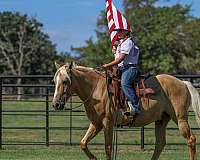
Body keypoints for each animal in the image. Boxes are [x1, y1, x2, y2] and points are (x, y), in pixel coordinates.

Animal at [52, 62, 200, 160]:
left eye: (65, 81)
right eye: (54, 81)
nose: (55, 104)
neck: (96, 88)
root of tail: (183, 82)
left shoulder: (107, 123)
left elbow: (108, 148)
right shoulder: (96, 123)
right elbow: (83, 143)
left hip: (180, 118)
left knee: (191, 139)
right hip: (162, 119)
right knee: (160, 143)